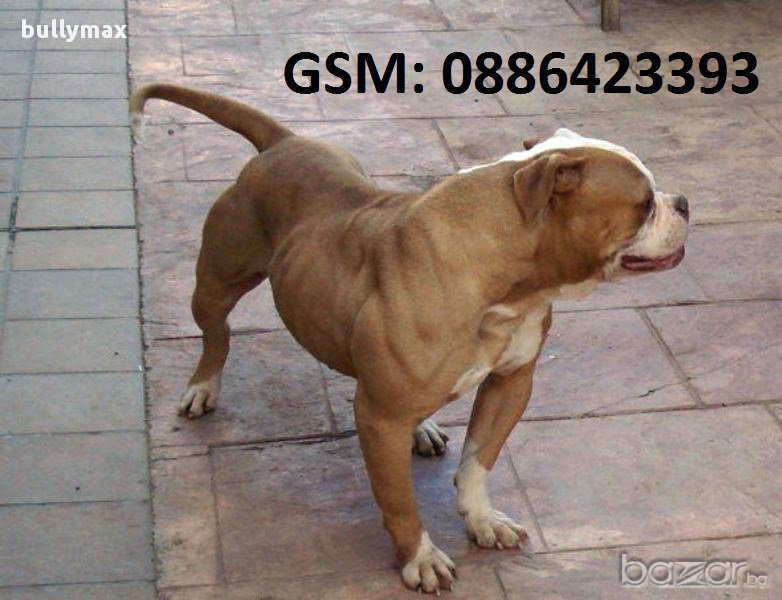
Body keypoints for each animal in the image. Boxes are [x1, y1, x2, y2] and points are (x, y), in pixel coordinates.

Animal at [130, 83, 689, 594]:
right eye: (643, 205)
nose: (682, 201)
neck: (509, 281)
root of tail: (283, 141)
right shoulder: (379, 416)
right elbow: (399, 500)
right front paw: (420, 558)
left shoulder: (510, 382)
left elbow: (479, 460)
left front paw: (482, 519)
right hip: (217, 281)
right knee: (216, 334)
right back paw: (203, 387)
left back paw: (423, 428)